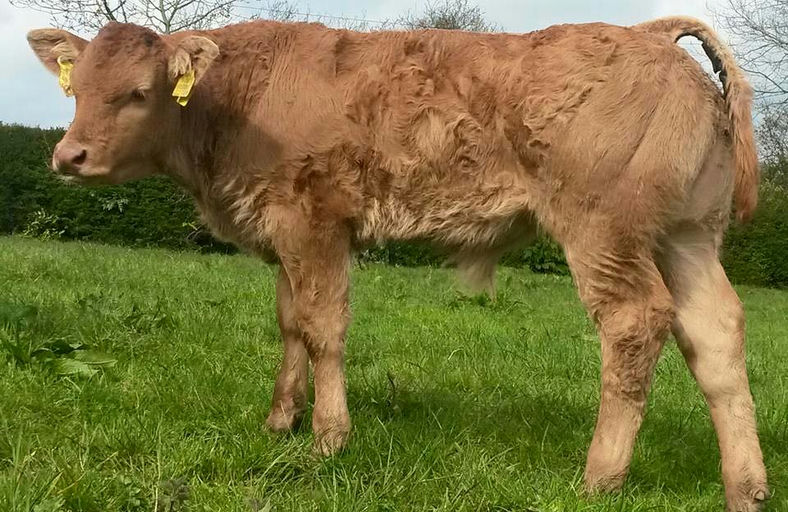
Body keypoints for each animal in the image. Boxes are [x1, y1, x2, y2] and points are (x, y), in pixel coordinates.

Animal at [27, 16, 767, 510]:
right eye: (77, 88)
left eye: (138, 92)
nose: (69, 156)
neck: (239, 102)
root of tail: (650, 32)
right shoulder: (283, 234)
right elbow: (290, 324)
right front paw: (279, 423)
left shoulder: (315, 224)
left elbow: (323, 328)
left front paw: (328, 439)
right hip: (686, 236)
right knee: (716, 334)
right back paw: (746, 486)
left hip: (604, 230)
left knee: (635, 324)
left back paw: (600, 477)